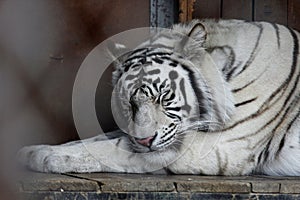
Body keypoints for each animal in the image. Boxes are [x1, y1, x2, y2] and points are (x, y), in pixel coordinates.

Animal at [18, 18, 300, 175]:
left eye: (165, 97)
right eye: (128, 102)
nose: (144, 140)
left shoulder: (217, 147)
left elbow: (115, 147)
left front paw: (49, 158)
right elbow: (100, 137)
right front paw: (34, 150)